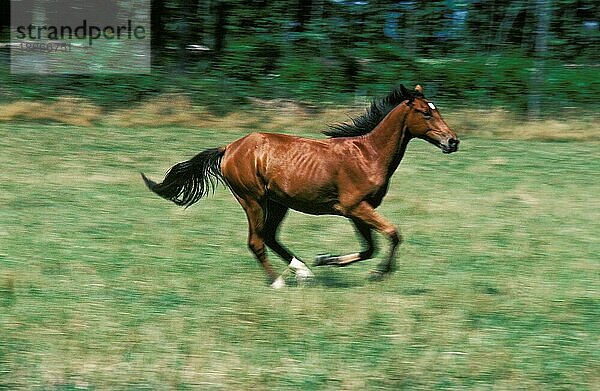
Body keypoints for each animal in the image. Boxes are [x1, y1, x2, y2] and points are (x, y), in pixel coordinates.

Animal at [142, 85, 460, 288]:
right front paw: (379, 274)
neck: (369, 154)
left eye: (436, 110)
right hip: (253, 199)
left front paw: (326, 259)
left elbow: (369, 248)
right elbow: (393, 235)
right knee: (256, 241)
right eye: (426, 113)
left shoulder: (357, 210)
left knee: (270, 236)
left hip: (277, 203)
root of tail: (229, 148)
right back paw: (278, 282)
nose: (453, 141)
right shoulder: (356, 207)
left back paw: (304, 272)